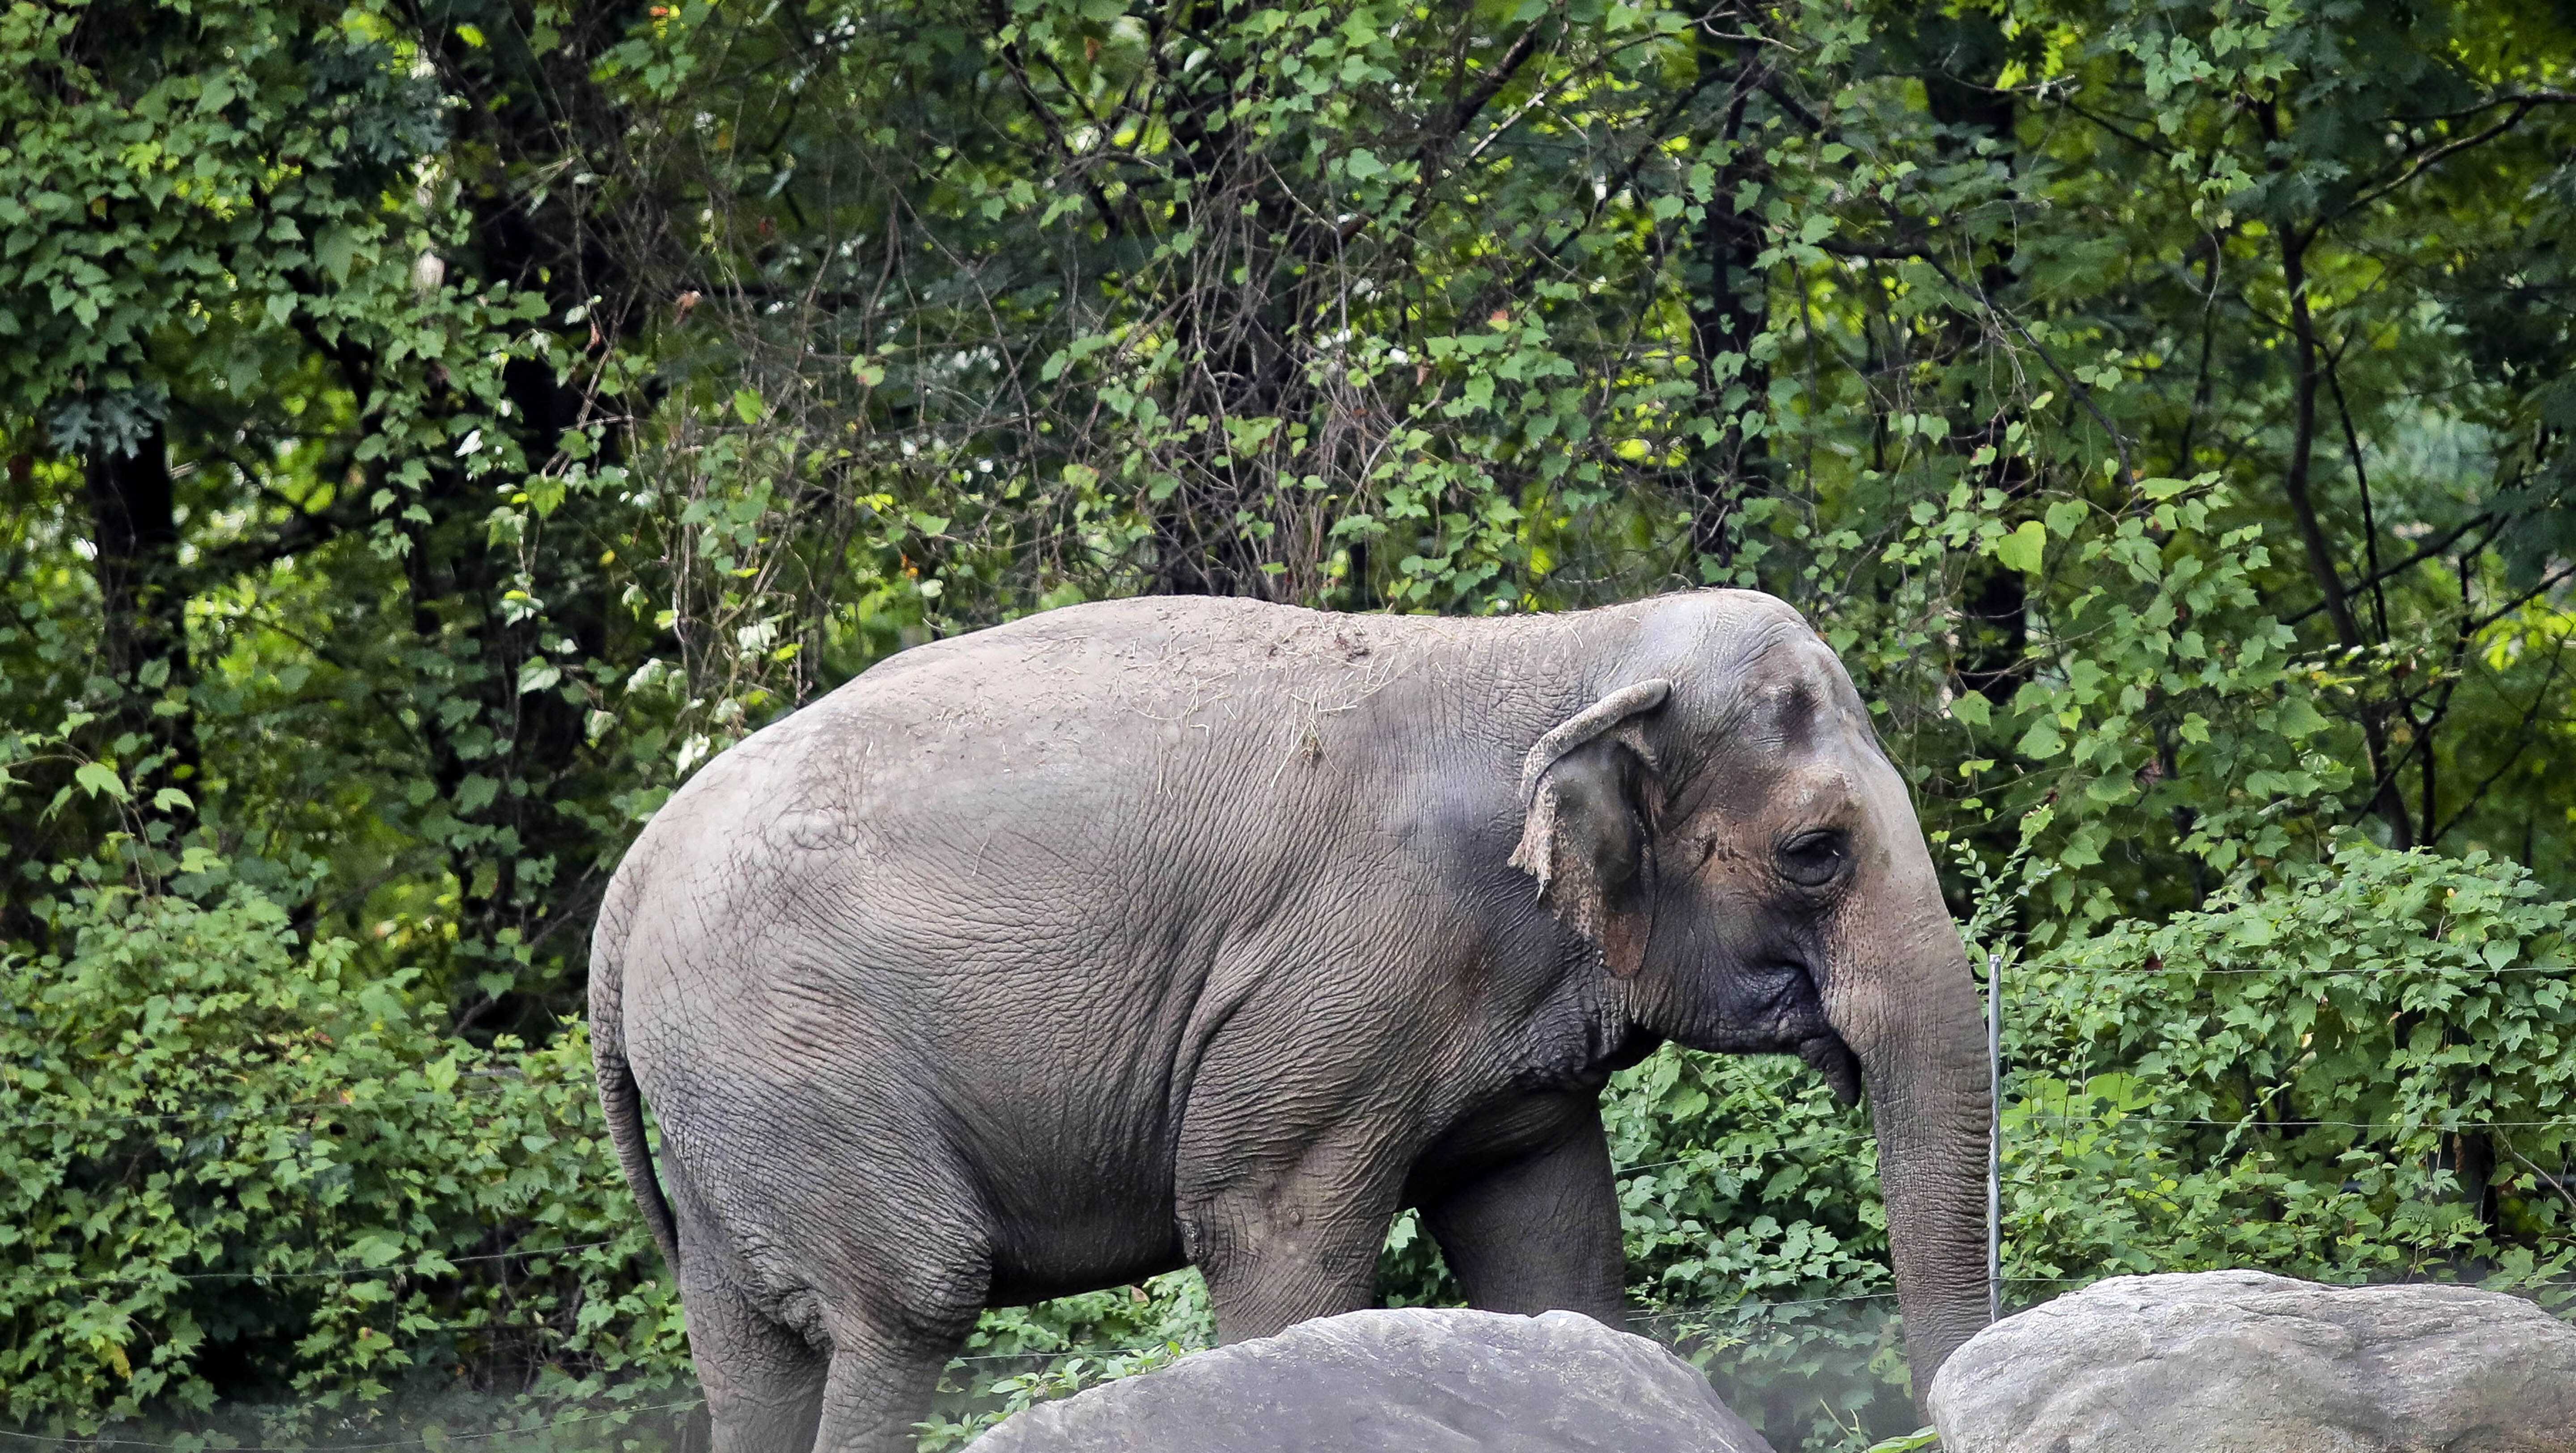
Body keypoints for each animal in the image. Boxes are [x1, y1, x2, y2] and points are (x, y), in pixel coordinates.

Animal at [590, 589, 1993, 1453]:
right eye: (1814, 854)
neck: (1568, 651)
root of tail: (631, 880)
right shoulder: (1340, 982)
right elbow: (1272, 1233)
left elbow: (1552, 1245)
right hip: (795, 1059)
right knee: (905, 1304)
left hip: (727, 1105)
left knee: (748, 1348)